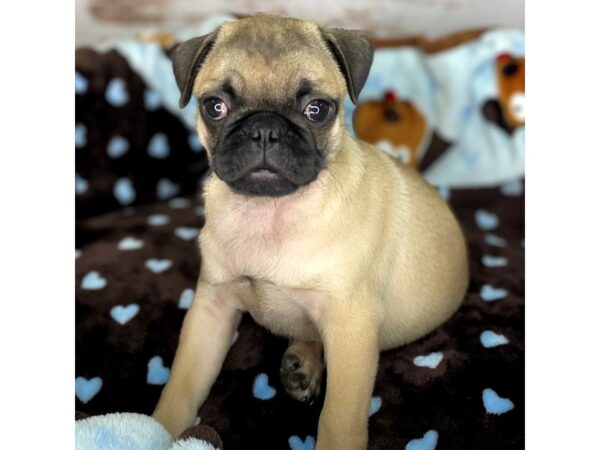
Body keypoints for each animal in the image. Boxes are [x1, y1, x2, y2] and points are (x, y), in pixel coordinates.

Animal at [154, 14, 468, 450]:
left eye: (317, 109)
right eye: (215, 107)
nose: (264, 129)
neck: (270, 213)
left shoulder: (351, 328)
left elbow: (339, 419)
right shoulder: (211, 308)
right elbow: (181, 386)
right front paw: (155, 431)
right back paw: (301, 364)